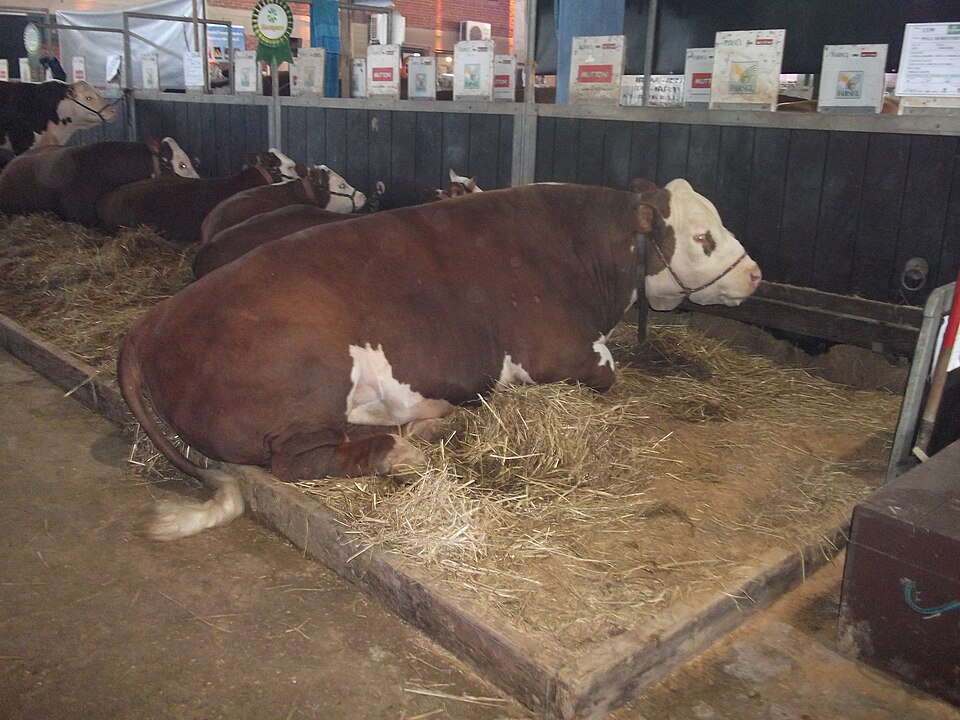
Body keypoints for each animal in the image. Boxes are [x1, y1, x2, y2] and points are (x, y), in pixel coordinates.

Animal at [117, 180, 762, 540]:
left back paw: (430, 423)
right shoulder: (560, 351)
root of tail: (157, 318)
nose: (756, 274)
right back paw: (401, 452)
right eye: (702, 237)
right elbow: (610, 372)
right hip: (304, 383)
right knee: (301, 459)